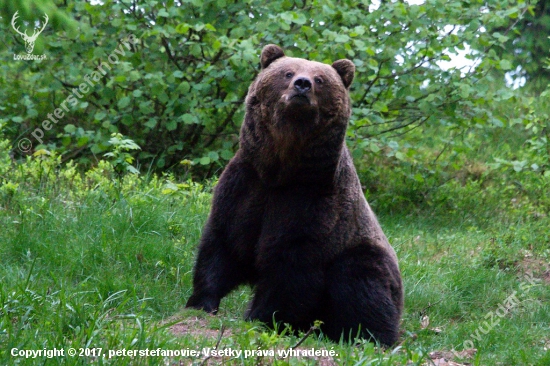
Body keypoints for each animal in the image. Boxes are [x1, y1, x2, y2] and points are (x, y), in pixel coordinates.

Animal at [187, 44, 406, 344]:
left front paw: (261, 318)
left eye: (320, 79)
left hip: (366, 254)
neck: (280, 171)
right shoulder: (245, 186)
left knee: (360, 281)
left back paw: (370, 335)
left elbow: (291, 269)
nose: (302, 84)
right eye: (288, 72)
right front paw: (201, 301)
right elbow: (223, 244)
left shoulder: (313, 202)